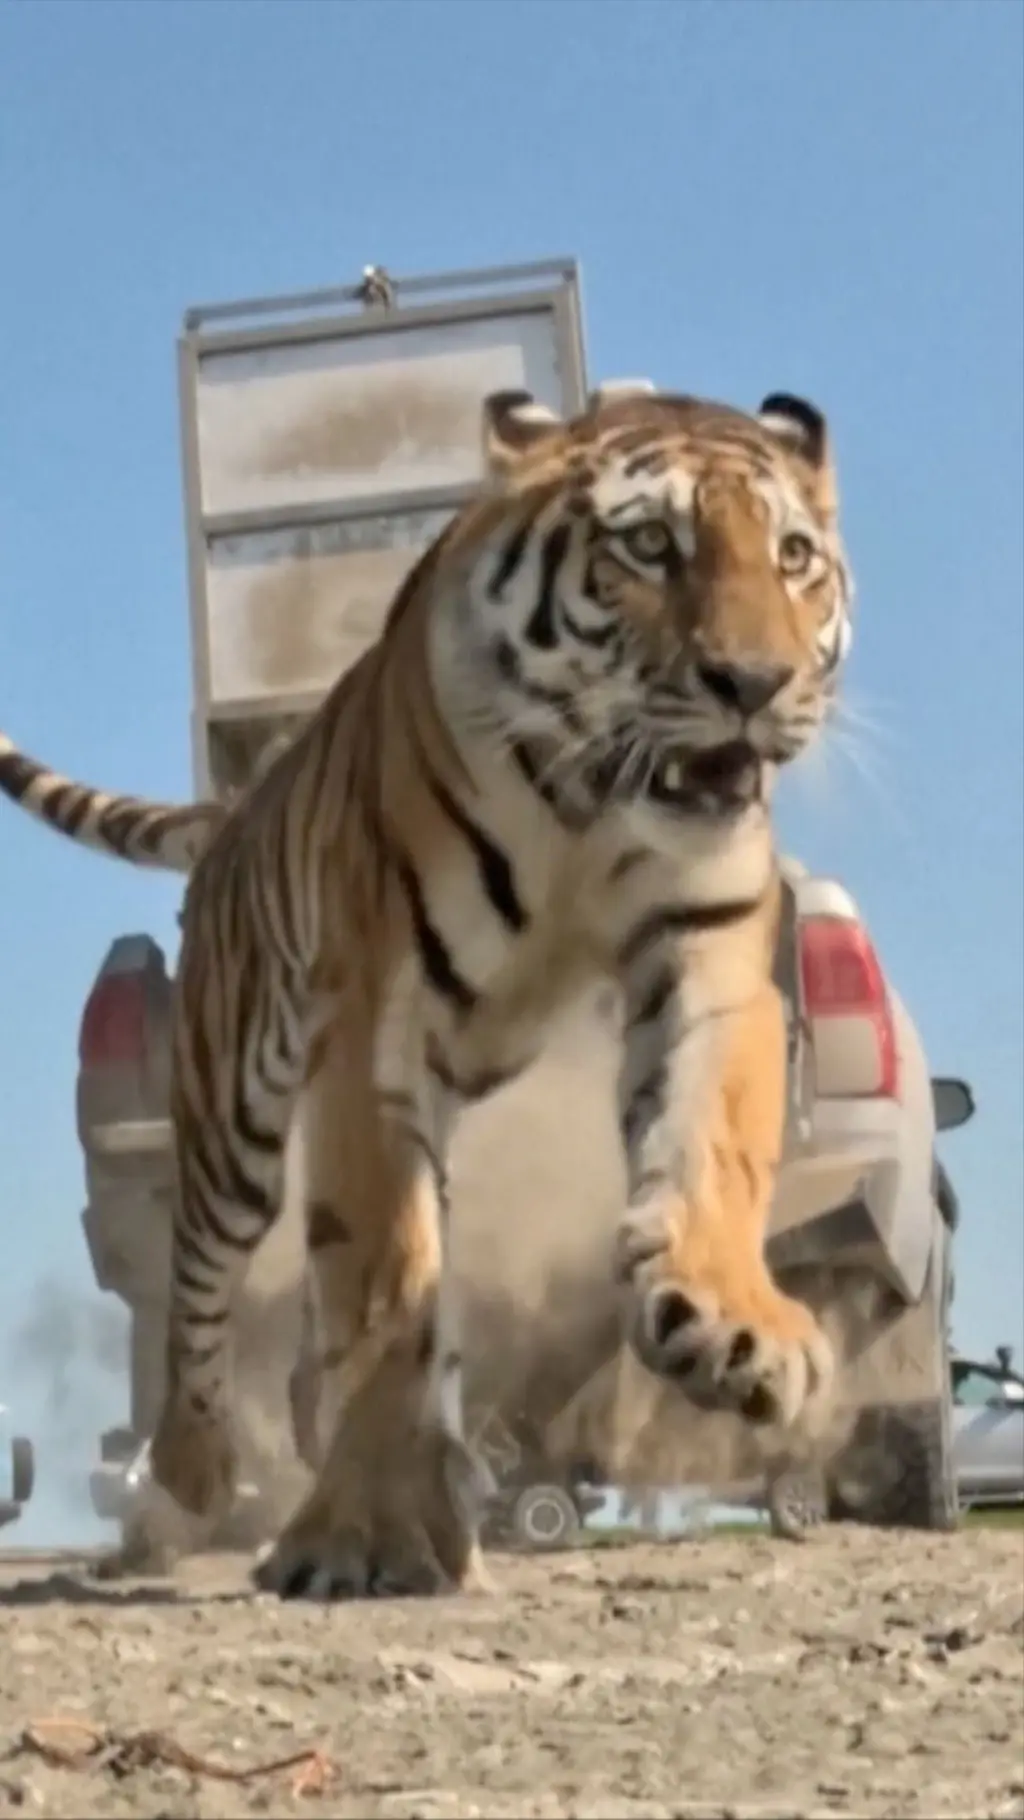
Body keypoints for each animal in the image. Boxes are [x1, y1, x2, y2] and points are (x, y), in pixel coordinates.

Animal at [0, 379, 853, 1600]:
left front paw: (740, 1330)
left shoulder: (706, 955)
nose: (755, 684)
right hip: (231, 1119)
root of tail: (237, 810)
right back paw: (198, 1471)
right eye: (649, 546)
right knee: (199, 1290)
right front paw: (369, 1531)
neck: (589, 804)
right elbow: (382, 1277)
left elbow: (711, 1148)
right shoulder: (374, 1027)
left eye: (793, 557)